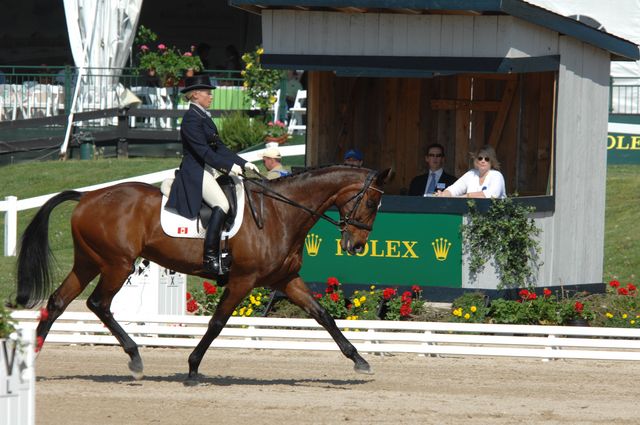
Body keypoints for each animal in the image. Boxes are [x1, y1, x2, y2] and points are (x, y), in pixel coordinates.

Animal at [16, 165, 390, 380]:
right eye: (372, 203)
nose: (356, 245)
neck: (280, 213)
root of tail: (86, 196)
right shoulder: (243, 280)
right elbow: (217, 322)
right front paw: (193, 366)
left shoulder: (285, 280)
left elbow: (323, 315)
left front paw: (359, 360)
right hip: (116, 264)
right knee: (98, 304)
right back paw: (135, 358)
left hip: (89, 261)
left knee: (58, 302)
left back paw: (32, 360)